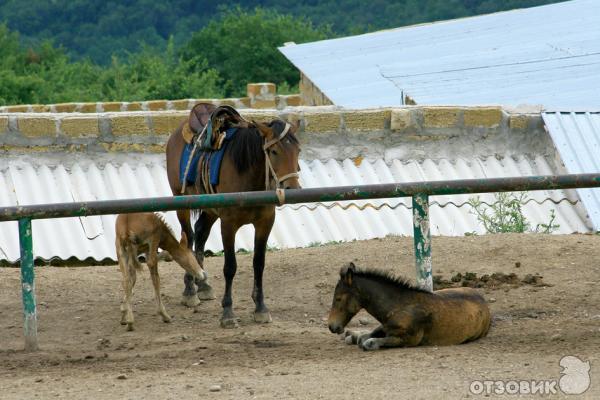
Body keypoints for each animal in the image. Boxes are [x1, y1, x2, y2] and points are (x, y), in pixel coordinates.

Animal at [166, 106, 302, 328]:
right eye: (274, 151)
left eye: (298, 151)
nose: (292, 188)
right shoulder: (228, 225)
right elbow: (230, 267)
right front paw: (228, 312)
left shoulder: (265, 223)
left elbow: (259, 263)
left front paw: (260, 307)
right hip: (182, 202)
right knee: (188, 237)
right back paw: (190, 290)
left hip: (210, 208)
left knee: (201, 232)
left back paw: (203, 284)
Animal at [328, 262, 492, 350]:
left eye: (338, 298)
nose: (332, 326)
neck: (399, 305)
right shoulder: (385, 326)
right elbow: (365, 336)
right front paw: (354, 336)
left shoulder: (408, 340)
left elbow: (368, 342)